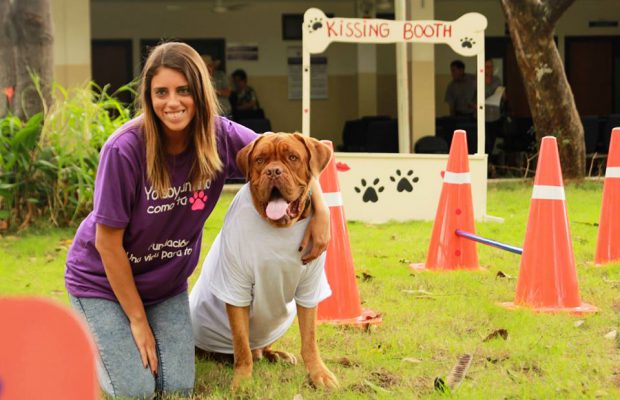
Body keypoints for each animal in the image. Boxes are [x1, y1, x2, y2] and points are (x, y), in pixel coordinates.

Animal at [189, 132, 340, 390]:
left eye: (293, 157)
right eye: (260, 160)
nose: (273, 171)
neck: (279, 227)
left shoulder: (309, 288)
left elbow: (309, 339)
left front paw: (319, 374)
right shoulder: (236, 286)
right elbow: (241, 345)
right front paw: (242, 381)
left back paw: (277, 355)